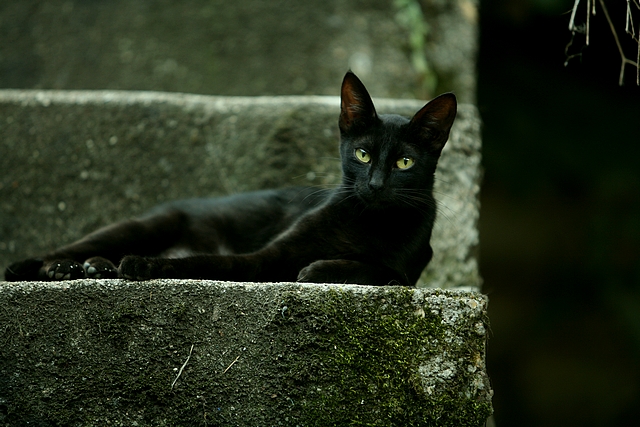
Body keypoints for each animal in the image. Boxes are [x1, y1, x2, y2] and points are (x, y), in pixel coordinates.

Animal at [3, 72, 456, 288]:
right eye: (363, 154)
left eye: (404, 162)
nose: (376, 185)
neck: (366, 221)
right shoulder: (266, 257)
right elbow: (207, 263)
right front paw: (144, 266)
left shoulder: (409, 269)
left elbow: (379, 271)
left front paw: (318, 268)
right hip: (141, 225)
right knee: (72, 247)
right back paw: (55, 267)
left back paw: (96, 268)